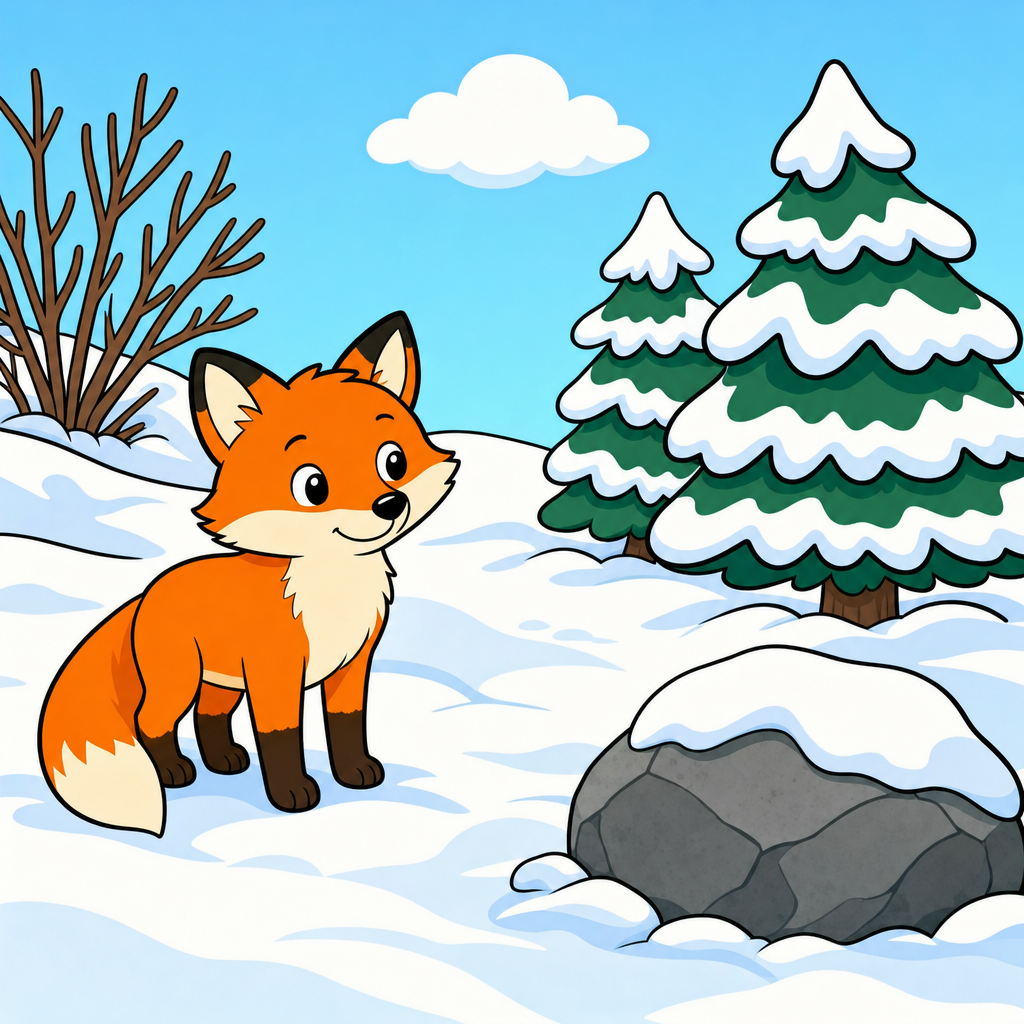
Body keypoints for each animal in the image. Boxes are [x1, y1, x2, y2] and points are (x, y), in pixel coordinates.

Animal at [38, 312, 458, 836]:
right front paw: (292, 795)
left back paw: (224, 761)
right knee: (150, 721)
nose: (389, 505)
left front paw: (355, 773)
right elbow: (280, 736)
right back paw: (173, 772)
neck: (333, 592)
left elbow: (346, 724)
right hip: (179, 681)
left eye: (393, 461)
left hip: (220, 683)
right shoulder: (275, 674)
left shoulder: (353, 664)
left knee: (207, 717)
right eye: (312, 486)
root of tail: (147, 592)